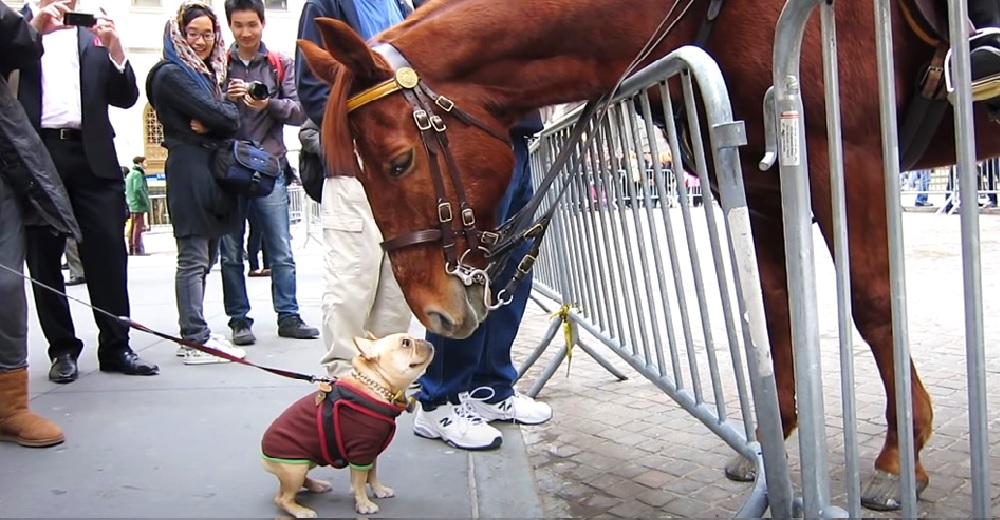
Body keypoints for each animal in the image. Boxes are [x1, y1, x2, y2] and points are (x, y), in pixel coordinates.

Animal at [296, 0, 1000, 512]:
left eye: (399, 162)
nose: (434, 313)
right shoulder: (758, 181)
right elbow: (771, 312)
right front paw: (774, 441)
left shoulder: (848, 157)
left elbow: (874, 302)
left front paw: (898, 457)